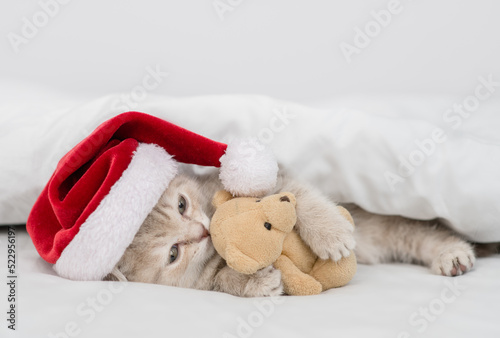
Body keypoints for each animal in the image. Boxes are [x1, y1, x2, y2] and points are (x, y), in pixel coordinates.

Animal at [106, 169, 480, 296]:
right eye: (173, 253)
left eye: (182, 204)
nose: (201, 231)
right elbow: (221, 280)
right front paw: (255, 283)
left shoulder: (270, 181)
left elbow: (297, 196)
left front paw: (330, 233)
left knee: (423, 232)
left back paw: (452, 254)